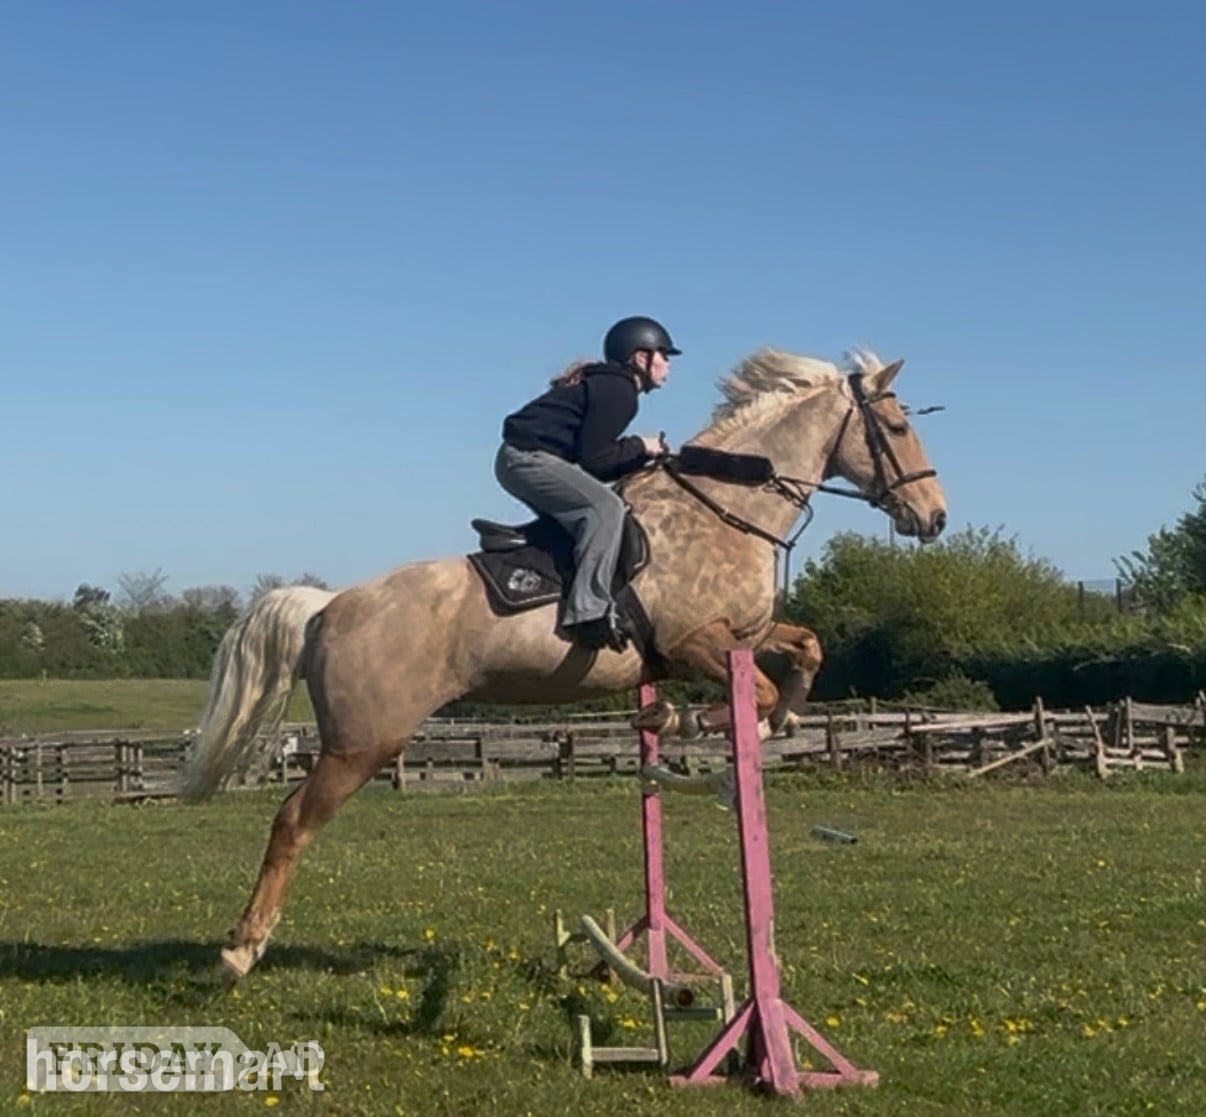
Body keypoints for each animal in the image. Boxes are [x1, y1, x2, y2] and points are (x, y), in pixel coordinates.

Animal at [182, 345, 948, 981]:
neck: (725, 509)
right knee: (292, 822)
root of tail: (329, 605)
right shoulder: (695, 640)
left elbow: (805, 648)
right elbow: (749, 690)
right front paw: (693, 723)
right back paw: (241, 949)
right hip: (361, 743)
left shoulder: (745, 631)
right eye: (897, 427)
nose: (935, 517)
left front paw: (776, 718)